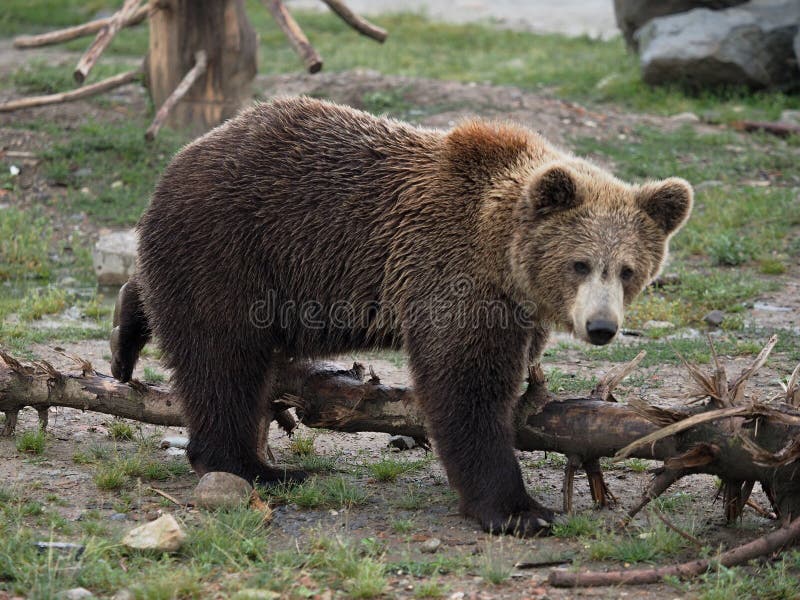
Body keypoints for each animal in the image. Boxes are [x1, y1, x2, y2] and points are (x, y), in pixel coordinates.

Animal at [109, 96, 692, 536]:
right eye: (580, 263)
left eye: (628, 270)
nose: (602, 327)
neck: (501, 255)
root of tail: (178, 161)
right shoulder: (449, 271)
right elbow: (465, 387)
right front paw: (518, 510)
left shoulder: (514, 305)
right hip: (235, 248)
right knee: (222, 360)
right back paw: (255, 466)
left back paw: (126, 333)